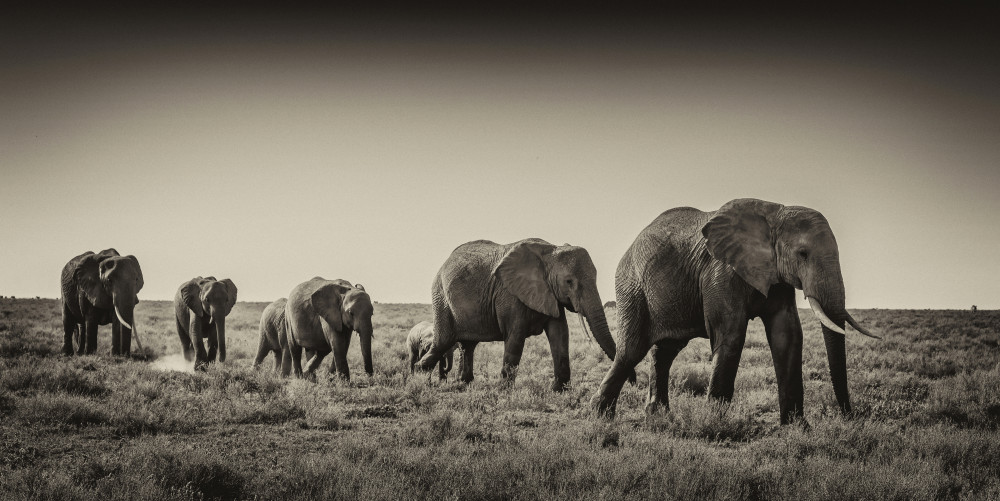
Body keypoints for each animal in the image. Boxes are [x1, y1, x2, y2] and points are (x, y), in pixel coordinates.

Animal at [414, 238, 624, 390]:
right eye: (569, 282)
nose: (632, 379)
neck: (550, 252)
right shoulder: (509, 294)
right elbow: (515, 337)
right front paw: (505, 391)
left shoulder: (549, 293)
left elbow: (560, 334)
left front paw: (559, 390)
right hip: (441, 298)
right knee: (444, 341)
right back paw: (418, 377)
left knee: (467, 345)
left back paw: (463, 382)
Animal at [588, 197, 880, 424]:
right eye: (803, 254)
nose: (849, 415)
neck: (775, 214)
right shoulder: (721, 271)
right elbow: (731, 335)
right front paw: (713, 424)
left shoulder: (777, 275)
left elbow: (787, 335)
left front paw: (797, 428)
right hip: (632, 288)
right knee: (632, 350)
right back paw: (600, 415)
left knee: (665, 351)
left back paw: (657, 416)